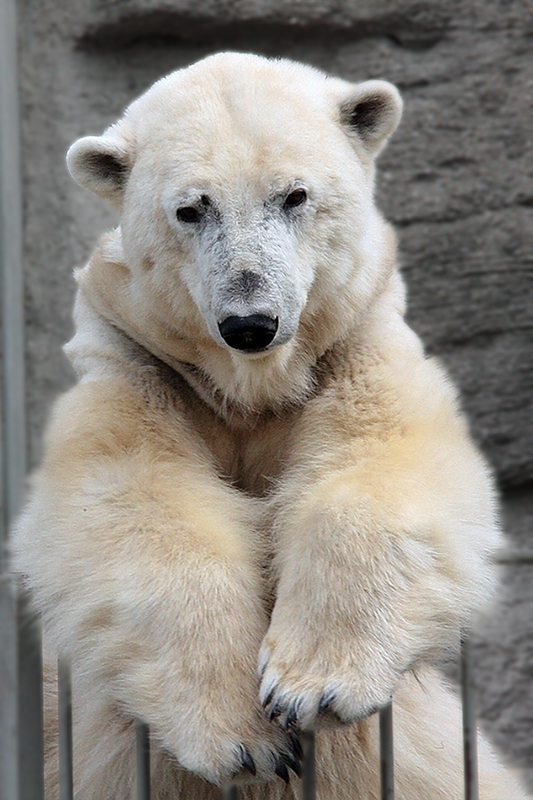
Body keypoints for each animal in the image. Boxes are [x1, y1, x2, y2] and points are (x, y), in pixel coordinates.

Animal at [10, 53, 528, 796]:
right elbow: (129, 497)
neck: (249, 384)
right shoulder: (139, 361)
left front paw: (310, 685)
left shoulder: (353, 340)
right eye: (190, 208)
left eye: (294, 196)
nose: (250, 322)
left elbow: (382, 458)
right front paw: (246, 738)